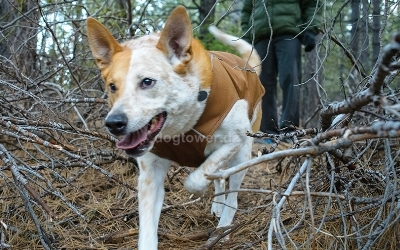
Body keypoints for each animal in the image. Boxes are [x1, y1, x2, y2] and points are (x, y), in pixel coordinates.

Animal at [86, 5, 264, 248]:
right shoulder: (150, 173)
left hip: (243, 153)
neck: (179, 129)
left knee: (231, 194)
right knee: (219, 179)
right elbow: (147, 229)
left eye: (147, 82)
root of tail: (248, 66)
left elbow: (195, 180)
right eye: (112, 86)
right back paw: (218, 207)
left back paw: (223, 228)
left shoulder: (233, 141)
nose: (114, 123)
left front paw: (199, 186)